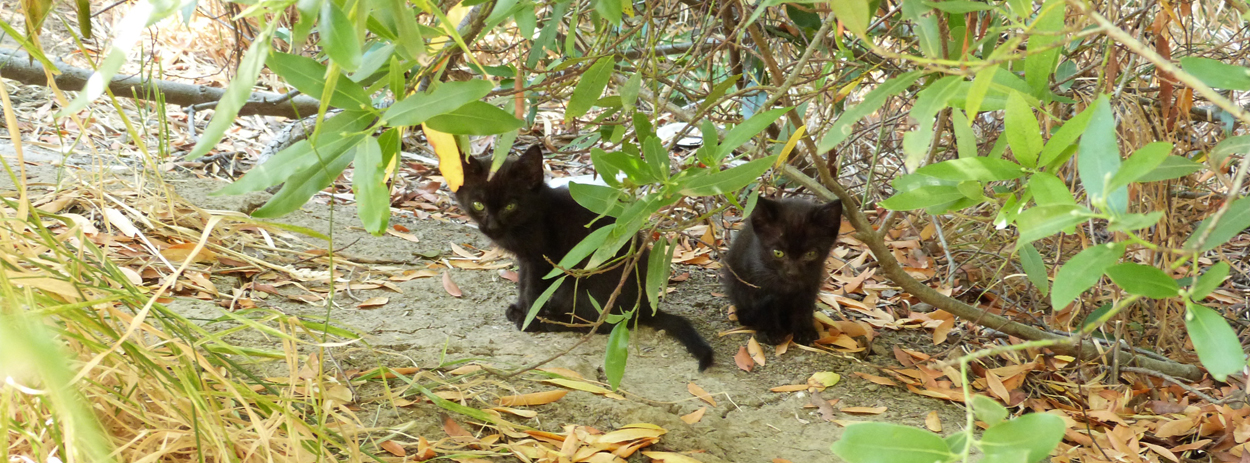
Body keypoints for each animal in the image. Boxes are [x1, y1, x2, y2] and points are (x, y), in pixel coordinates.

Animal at [457, 146, 715, 370]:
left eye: (510, 206)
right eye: (478, 205)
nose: (491, 226)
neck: (534, 213)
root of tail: (641, 307)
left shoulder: (542, 259)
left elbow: (533, 289)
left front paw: (530, 320)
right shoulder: (525, 259)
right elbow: (522, 283)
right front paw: (520, 310)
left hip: (574, 288)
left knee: (602, 324)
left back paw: (553, 321)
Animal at [725, 197, 840, 345]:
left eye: (810, 254)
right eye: (778, 253)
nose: (793, 272)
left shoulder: (811, 283)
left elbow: (804, 307)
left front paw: (804, 331)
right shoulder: (756, 284)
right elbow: (765, 307)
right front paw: (770, 332)